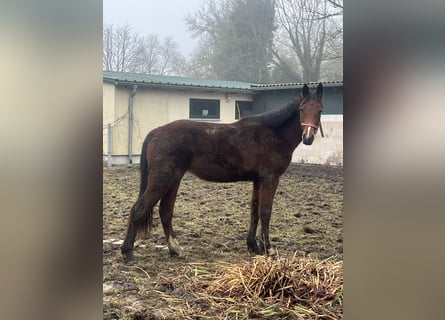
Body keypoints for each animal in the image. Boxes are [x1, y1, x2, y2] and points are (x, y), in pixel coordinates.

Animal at [121, 83, 322, 262]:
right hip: (163, 179)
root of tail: (156, 132)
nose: (308, 138)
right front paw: (269, 249)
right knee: (139, 209)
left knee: (165, 212)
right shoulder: (269, 179)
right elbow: (265, 212)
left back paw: (175, 249)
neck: (274, 134)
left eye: (320, 110)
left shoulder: (258, 181)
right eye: (302, 109)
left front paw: (253, 246)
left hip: (173, 179)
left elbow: (254, 211)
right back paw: (128, 252)